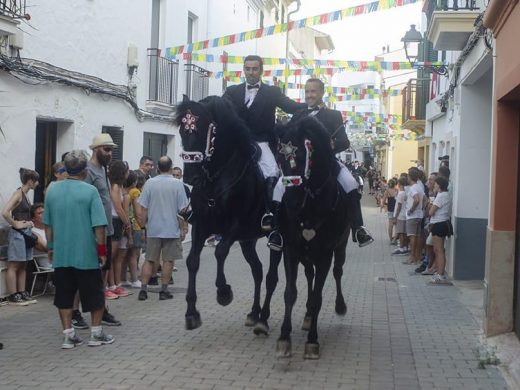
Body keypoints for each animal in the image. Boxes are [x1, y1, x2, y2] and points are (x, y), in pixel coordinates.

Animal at [175, 96, 282, 330]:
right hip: (248, 241)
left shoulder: (235, 225)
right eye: (182, 130)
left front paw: (223, 292)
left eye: (203, 130)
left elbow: (220, 251)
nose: (190, 177)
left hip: (279, 240)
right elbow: (192, 261)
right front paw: (191, 313)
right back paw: (254, 313)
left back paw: (263, 319)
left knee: (271, 277)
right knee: (257, 270)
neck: (216, 179)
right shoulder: (200, 226)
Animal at [274, 115, 352, 360]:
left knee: (338, 272)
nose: (291, 202)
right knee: (309, 275)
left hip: (340, 247)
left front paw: (312, 342)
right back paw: (308, 317)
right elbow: (290, 293)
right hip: (306, 254)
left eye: (302, 156)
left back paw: (339, 306)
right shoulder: (290, 249)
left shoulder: (325, 253)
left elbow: (318, 297)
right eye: (279, 156)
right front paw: (284, 339)